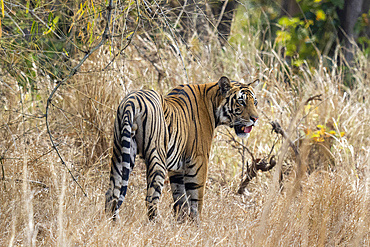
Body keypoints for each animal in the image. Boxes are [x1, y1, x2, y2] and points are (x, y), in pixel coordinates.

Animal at [105, 76, 258, 221]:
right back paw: (159, 224)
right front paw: (196, 224)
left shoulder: (177, 167)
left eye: (255, 102)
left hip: (121, 151)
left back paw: (111, 221)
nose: (255, 118)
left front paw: (181, 222)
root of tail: (131, 102)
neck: (213, 102)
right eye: (241, 101)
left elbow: (180, 197)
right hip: (157, 158)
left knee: (112, 192)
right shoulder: (199, 160)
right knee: (151, 198)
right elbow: (196, 198)